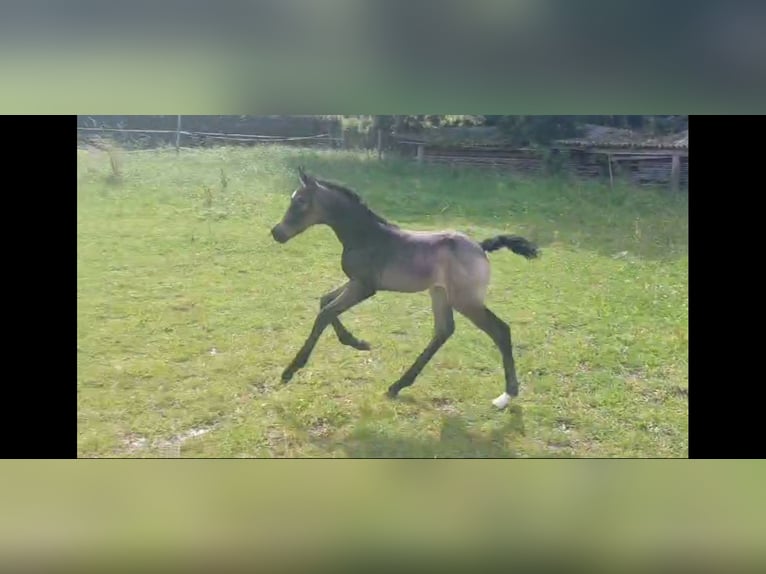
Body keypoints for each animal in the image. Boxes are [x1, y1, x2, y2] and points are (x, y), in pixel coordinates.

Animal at [270, 166, 540, 410]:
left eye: (300, 201)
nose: (276, 233)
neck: (364, 236)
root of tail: (481, 247)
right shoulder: (356, 281)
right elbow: (324, 301)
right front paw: (358, 343)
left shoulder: (364, 286)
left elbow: (325, 313)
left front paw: (290, 370)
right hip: (440, 293)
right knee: (443, 331)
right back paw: (397, 386)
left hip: (465, 300)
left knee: (500, 331)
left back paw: (506, 395)